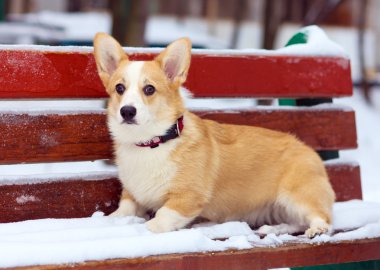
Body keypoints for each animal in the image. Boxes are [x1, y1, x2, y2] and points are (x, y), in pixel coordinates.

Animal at [93, 32, 334, 237]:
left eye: (149, 89)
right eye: (119, 88)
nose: (127, 111)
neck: (150, 142)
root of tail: (309, 150)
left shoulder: (187, 198)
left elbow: (161, 216)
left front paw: (147, 228)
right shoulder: (133, 195)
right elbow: (123, 210)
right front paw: (109, 221)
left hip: (297, 196)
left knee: (321, 217)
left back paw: (316, 230)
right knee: (296, 222)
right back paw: (274, 229)